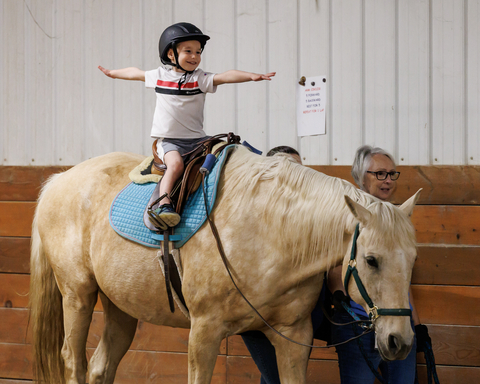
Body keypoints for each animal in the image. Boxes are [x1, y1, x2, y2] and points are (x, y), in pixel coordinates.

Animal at [30, 146, 420, 382]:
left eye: (413, 258)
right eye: (371, 260)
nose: (399, 341)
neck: (269, 231)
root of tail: (58, 180)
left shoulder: (294, 337)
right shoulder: (203, 332)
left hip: (120, 308)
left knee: (101, 367)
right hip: (78, 296)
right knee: (74, 361)